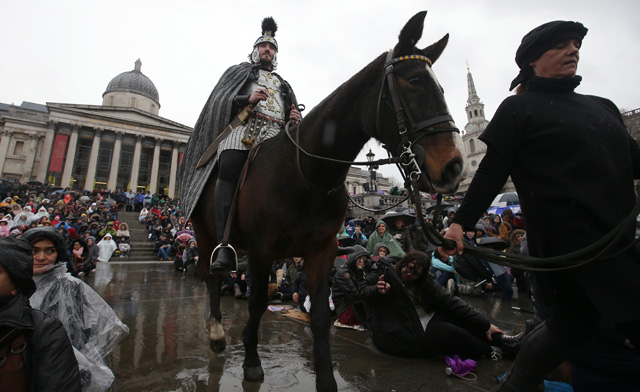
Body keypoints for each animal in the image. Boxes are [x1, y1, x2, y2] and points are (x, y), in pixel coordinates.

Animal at [190, 10, 464, 390]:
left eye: (440, 86)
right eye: (414, 80)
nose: (453, 167)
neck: (305, 173)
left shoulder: (321, 250)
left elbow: (320, 316)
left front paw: (325, 379)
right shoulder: (261, 251)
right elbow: (257, 304)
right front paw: (251, 361)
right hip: (205, 235)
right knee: (211, 276)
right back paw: (216, 333)